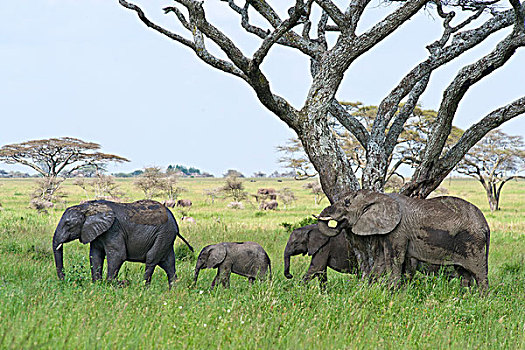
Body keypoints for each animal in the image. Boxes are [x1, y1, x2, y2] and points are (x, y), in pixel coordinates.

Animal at [52, 198, 194, 288]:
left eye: (68, 224)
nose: (64, 280)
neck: (88, 207)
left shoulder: (114, 229)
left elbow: (118, 255)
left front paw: (110, 286)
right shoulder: (96, 232)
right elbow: (95, 255)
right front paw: (97, 285)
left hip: (163, 235)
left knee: (152, 259)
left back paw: (144, 288)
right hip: (166, 238)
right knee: (169, 263)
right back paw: (173, 290)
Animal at [316, 190, 492, 292]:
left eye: (346, 203)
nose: (337, 225)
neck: (379, 195)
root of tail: (486, 225)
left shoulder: (398, 231)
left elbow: (394, 259)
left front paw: (391, 293)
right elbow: (383, 260)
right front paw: (369, 290)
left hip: (473, 243)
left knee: (479, 273)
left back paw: (481, 300)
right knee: (463, 273)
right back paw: (462, 298)